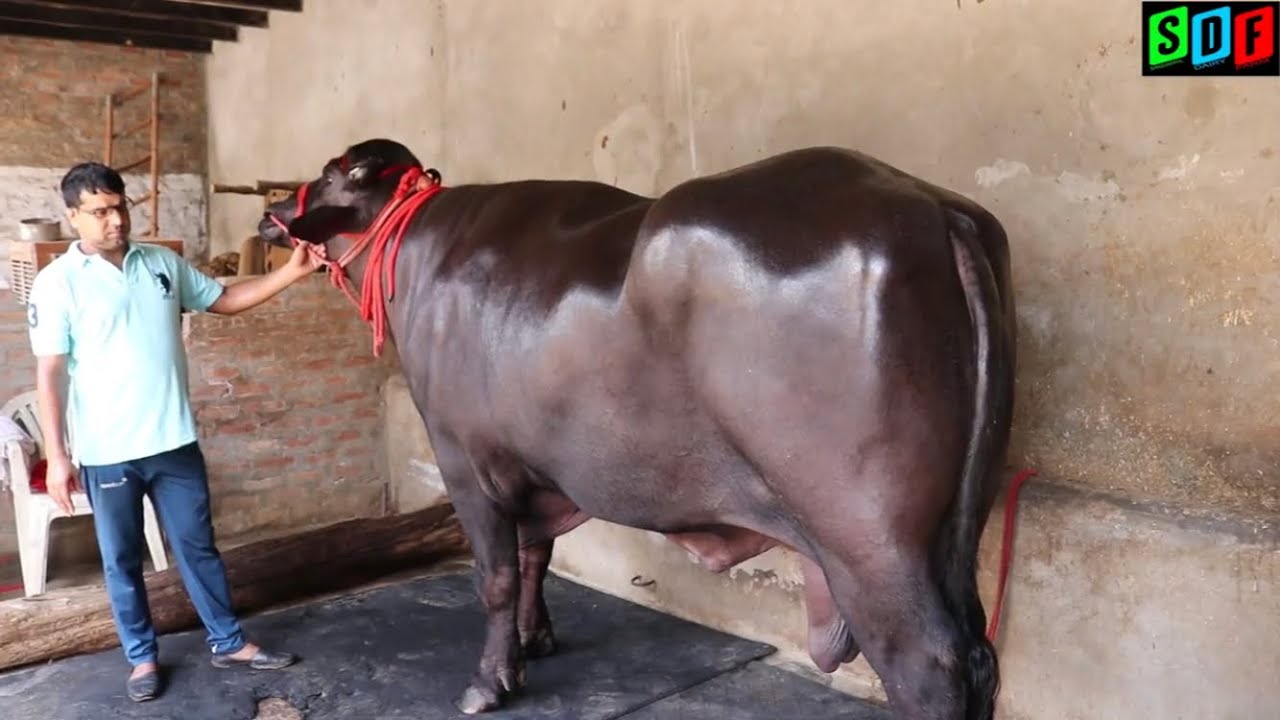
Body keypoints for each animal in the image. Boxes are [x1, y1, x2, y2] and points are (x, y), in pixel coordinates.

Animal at [257, 138, 1017, 720]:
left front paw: (488, 683)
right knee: (979, 655)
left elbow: (495, 577)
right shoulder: (539, 471)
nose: (271, 212)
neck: (419, 257)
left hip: (866, 534)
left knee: (929, 667)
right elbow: (536, 558)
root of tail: (934, 210)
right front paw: (535, 641)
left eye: (332, 170)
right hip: (956, 524)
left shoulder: (465, 461)